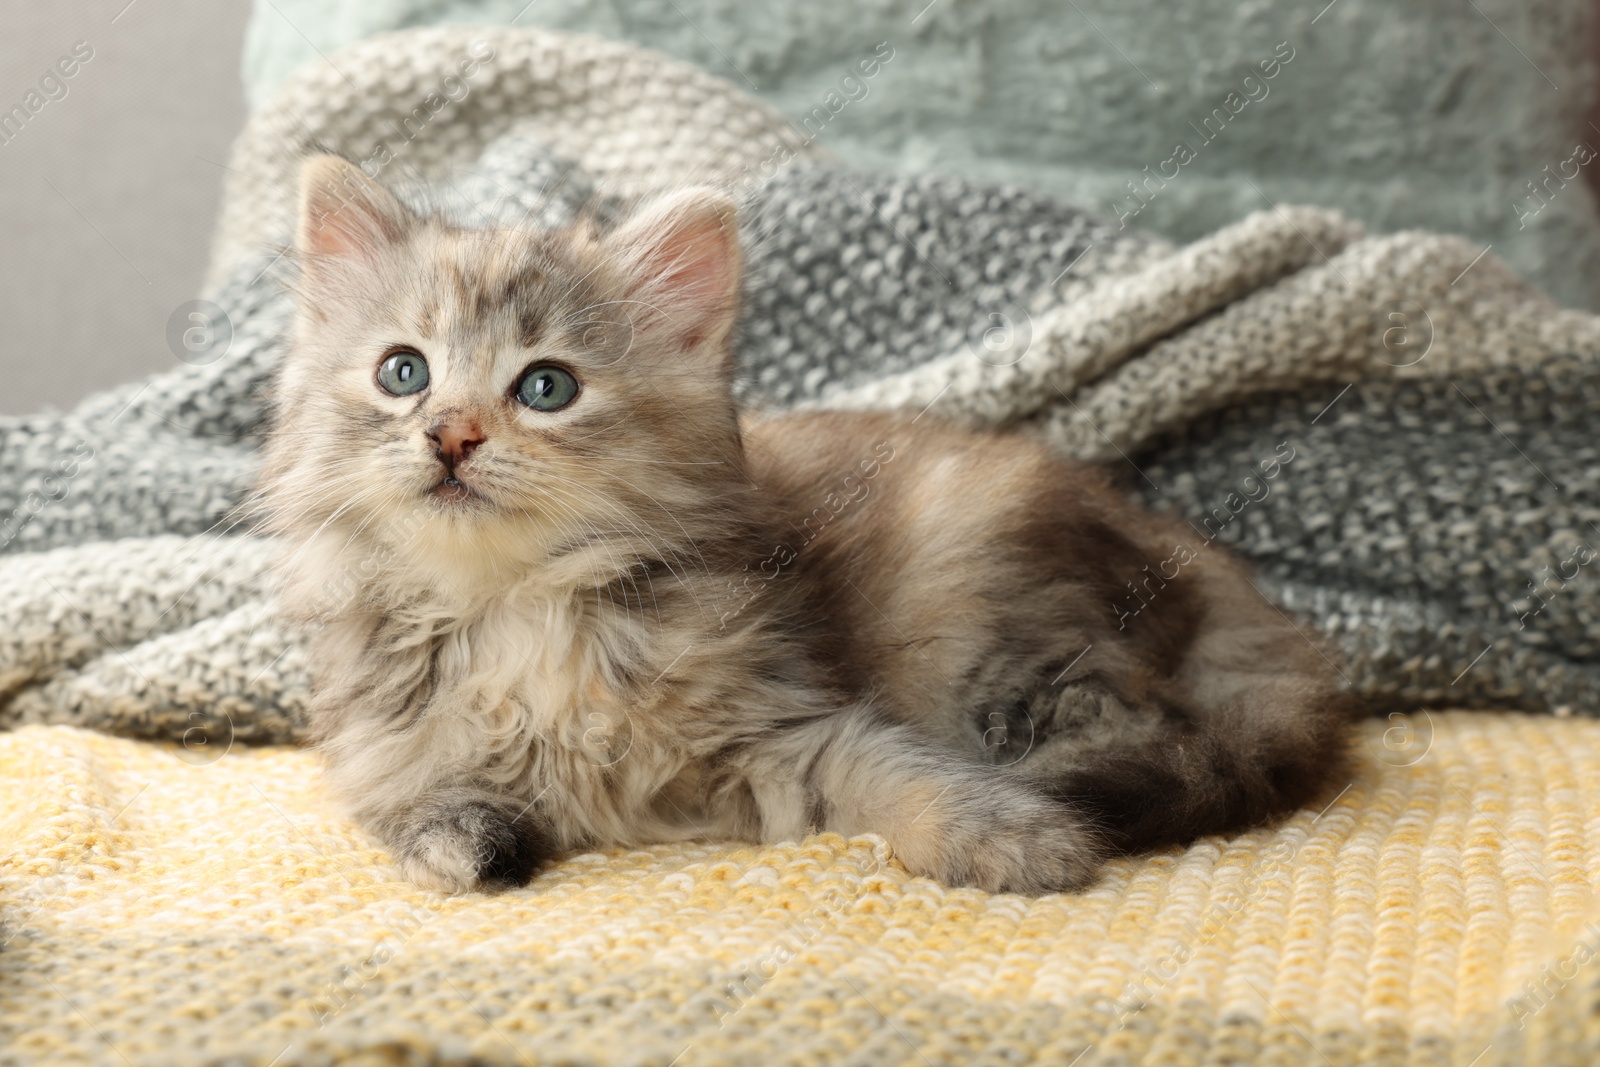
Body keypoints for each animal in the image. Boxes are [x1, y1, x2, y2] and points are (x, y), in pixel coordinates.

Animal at [252, 156, 1350, 895]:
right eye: (404, 371)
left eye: (546, 386)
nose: (450, 435)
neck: (516, 603)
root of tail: (1192, 558)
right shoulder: (376, 751)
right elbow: (422, 815)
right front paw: (466, 842)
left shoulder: (782, 729)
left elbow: (896, 775)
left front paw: (1011, 836)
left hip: (995, 612)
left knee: (1153, 732)